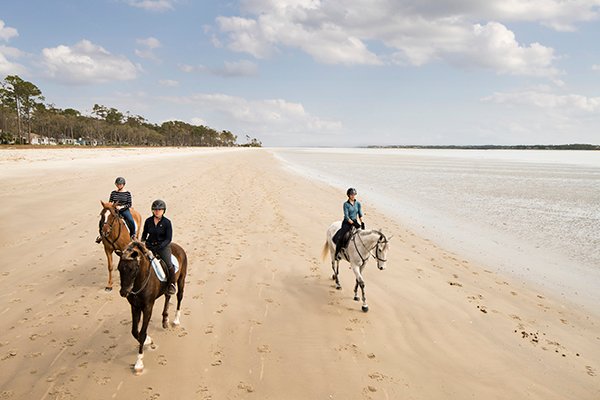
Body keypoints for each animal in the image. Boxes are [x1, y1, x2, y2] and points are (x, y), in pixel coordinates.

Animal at [117, 241, 188, 376]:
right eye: (119, 268)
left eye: (132, 269)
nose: (124, 292)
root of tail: (177, 246)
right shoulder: (135, 307)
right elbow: (135, 331)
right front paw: (148, 341)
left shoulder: (148, 307)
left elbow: (142, 333)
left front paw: (139, 363)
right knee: (167, 296)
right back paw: (165, 320)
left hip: (182, 278)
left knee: (179, 297)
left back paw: (176, 320)